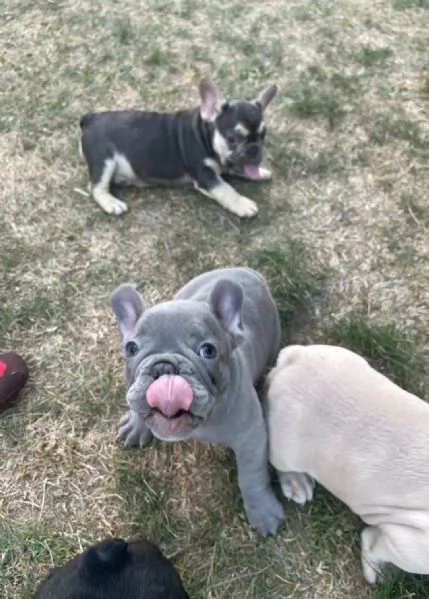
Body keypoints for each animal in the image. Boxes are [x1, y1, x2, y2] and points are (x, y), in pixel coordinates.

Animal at [78, 77, 276, 218]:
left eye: (262, 135)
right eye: (233, 138)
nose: (254, 149)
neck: (204, 134)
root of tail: (90, 118)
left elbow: (238, 169)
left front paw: (261, 172)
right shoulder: (205, 175)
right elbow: (226, 189)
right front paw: (242, 204)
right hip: (104, 160)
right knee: (96, 187)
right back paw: (112, 203)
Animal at [111, 268, 284, 536]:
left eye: (208, 351)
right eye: (131, 348)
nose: (164, 366)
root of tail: (246, 271)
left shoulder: (251, 438)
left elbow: (251, 476)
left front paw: (263, 511)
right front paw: (136, 425)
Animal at [266, 344, 429, 584]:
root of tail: (294, 357)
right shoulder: (415, 546)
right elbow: (376, 544)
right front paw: (376, 573)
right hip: (285, 444)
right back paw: (297, 484)